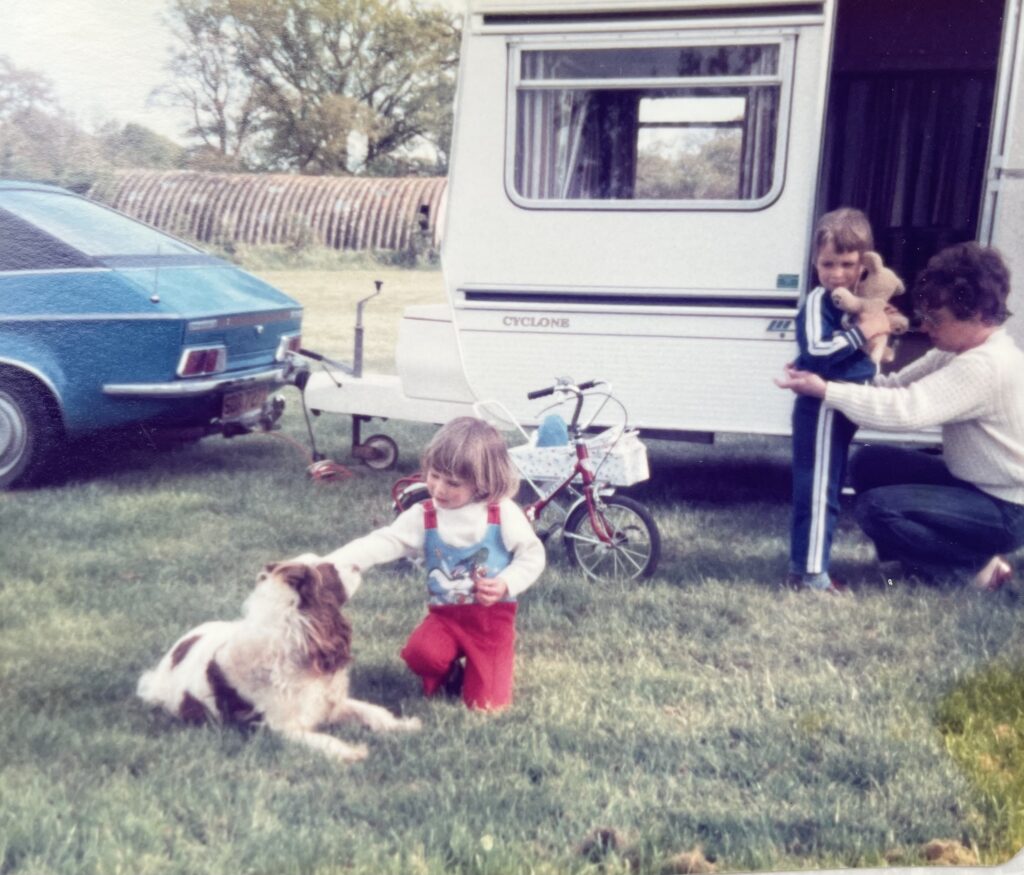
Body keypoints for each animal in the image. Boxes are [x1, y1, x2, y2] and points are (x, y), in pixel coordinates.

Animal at [137, 561, 419, 762]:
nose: (357, 565)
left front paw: (403, 725)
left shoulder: (331, 703)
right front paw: (350, 751)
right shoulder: (283, 728)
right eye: (329, 568)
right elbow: (323, 739)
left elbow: (373, 711)